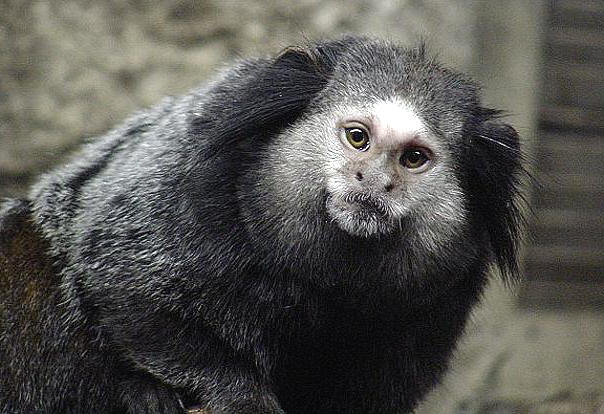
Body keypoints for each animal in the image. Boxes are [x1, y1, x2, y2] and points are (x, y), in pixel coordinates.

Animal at [0, 36, 525, 414]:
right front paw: (239, 396)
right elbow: (126, 285)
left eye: (414, 158)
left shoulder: (438, 300)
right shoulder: (181, 192)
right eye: (358, 138)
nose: (375, 181)